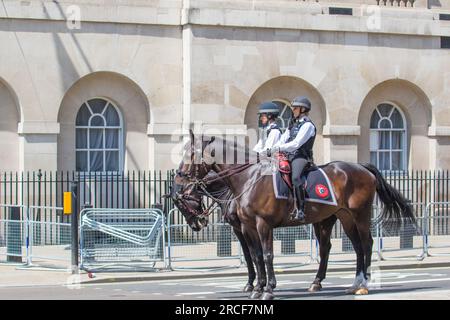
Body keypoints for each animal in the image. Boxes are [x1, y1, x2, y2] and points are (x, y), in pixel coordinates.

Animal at [170, 132, 414, 300]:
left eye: (191, 154)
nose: (179, 178)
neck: (249, 178)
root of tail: (361, 167)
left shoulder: (262, 225)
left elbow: (266, 255)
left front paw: (268, 289)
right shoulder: (247, 227)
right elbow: (255, 256)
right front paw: (256, 288)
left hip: (360, 214)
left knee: (367, 243)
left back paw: (364, 285)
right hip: (342, 217)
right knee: (352, 246)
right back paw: (344, 283)